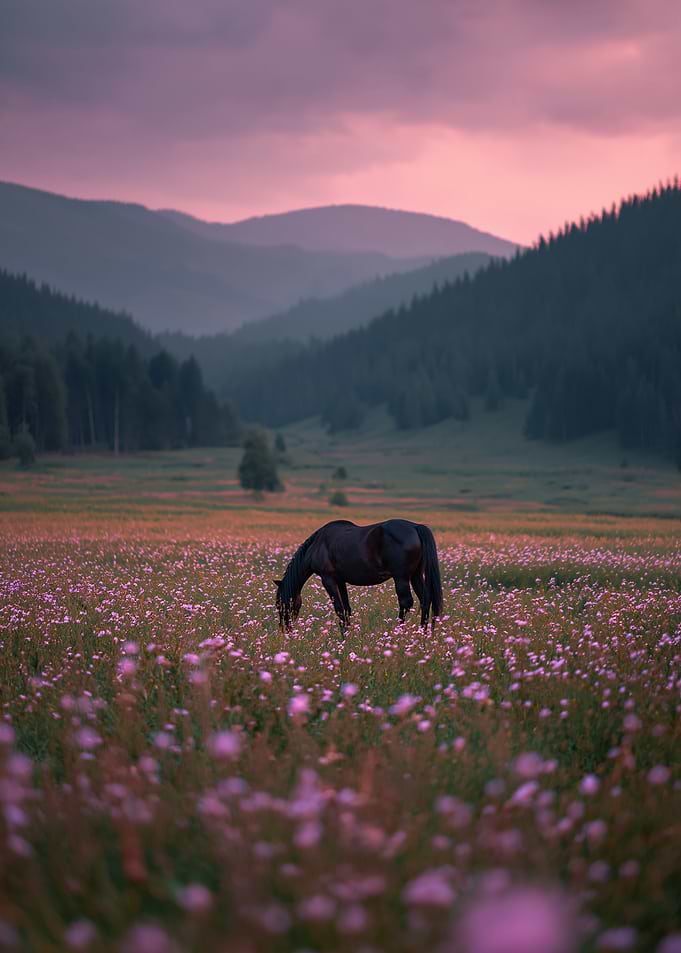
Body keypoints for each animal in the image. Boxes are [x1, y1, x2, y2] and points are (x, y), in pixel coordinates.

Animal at [274, 518, 443, 631]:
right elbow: (346, 609)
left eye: (280, 603)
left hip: (401, 577)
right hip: (415, 576)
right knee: (426, 599)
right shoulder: (340, 580)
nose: (285, 628)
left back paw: (399, 631)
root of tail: (415, 527)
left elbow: (339, 609)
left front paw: (343, 637)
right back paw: (423, 632)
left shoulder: (328, 579)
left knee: (405, 602)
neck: (317, 545)